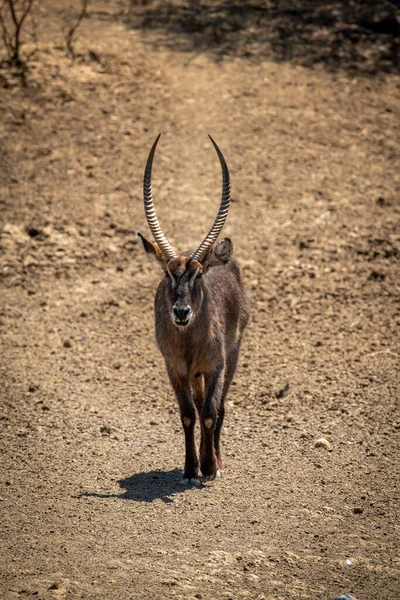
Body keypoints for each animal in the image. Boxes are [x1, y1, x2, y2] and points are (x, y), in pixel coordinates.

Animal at [139, 134, 248, 486]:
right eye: (167, 273)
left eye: (198, 274)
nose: (181, 313)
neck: (189, 342)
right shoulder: (175, 368)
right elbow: (189, 414)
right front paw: (190, 469)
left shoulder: (217, 366)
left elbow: (212, 413)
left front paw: (211, 467)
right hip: (195, 373)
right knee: (199, 408)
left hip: (232, 356)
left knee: (218, 407)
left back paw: (214, 458)